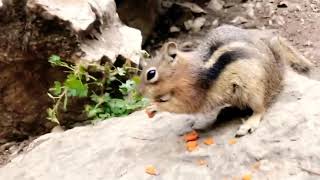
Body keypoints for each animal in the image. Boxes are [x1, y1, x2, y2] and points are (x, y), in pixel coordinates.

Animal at [139, 24, 312, 136]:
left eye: (151, 74)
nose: (139, 92)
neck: (184, 72)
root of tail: (277, 75)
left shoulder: (192, 92)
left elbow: (182, 106)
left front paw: (155, 106)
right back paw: (226, 110)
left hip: (253, 89)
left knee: (260, 109)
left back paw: (249, 123)